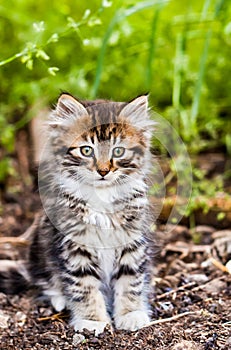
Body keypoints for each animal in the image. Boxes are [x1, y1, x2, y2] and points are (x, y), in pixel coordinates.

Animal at [1, 93, 155, 334]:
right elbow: (84, 286)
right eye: (86, 150)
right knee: (45, 280)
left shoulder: (132, 240)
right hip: (40, 248)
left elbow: (131, 281)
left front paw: (131, 314)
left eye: (118, 151)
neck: (102, 198)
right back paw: (60, 299)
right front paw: (92, 321)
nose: (103, 171)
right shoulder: (74, 246)